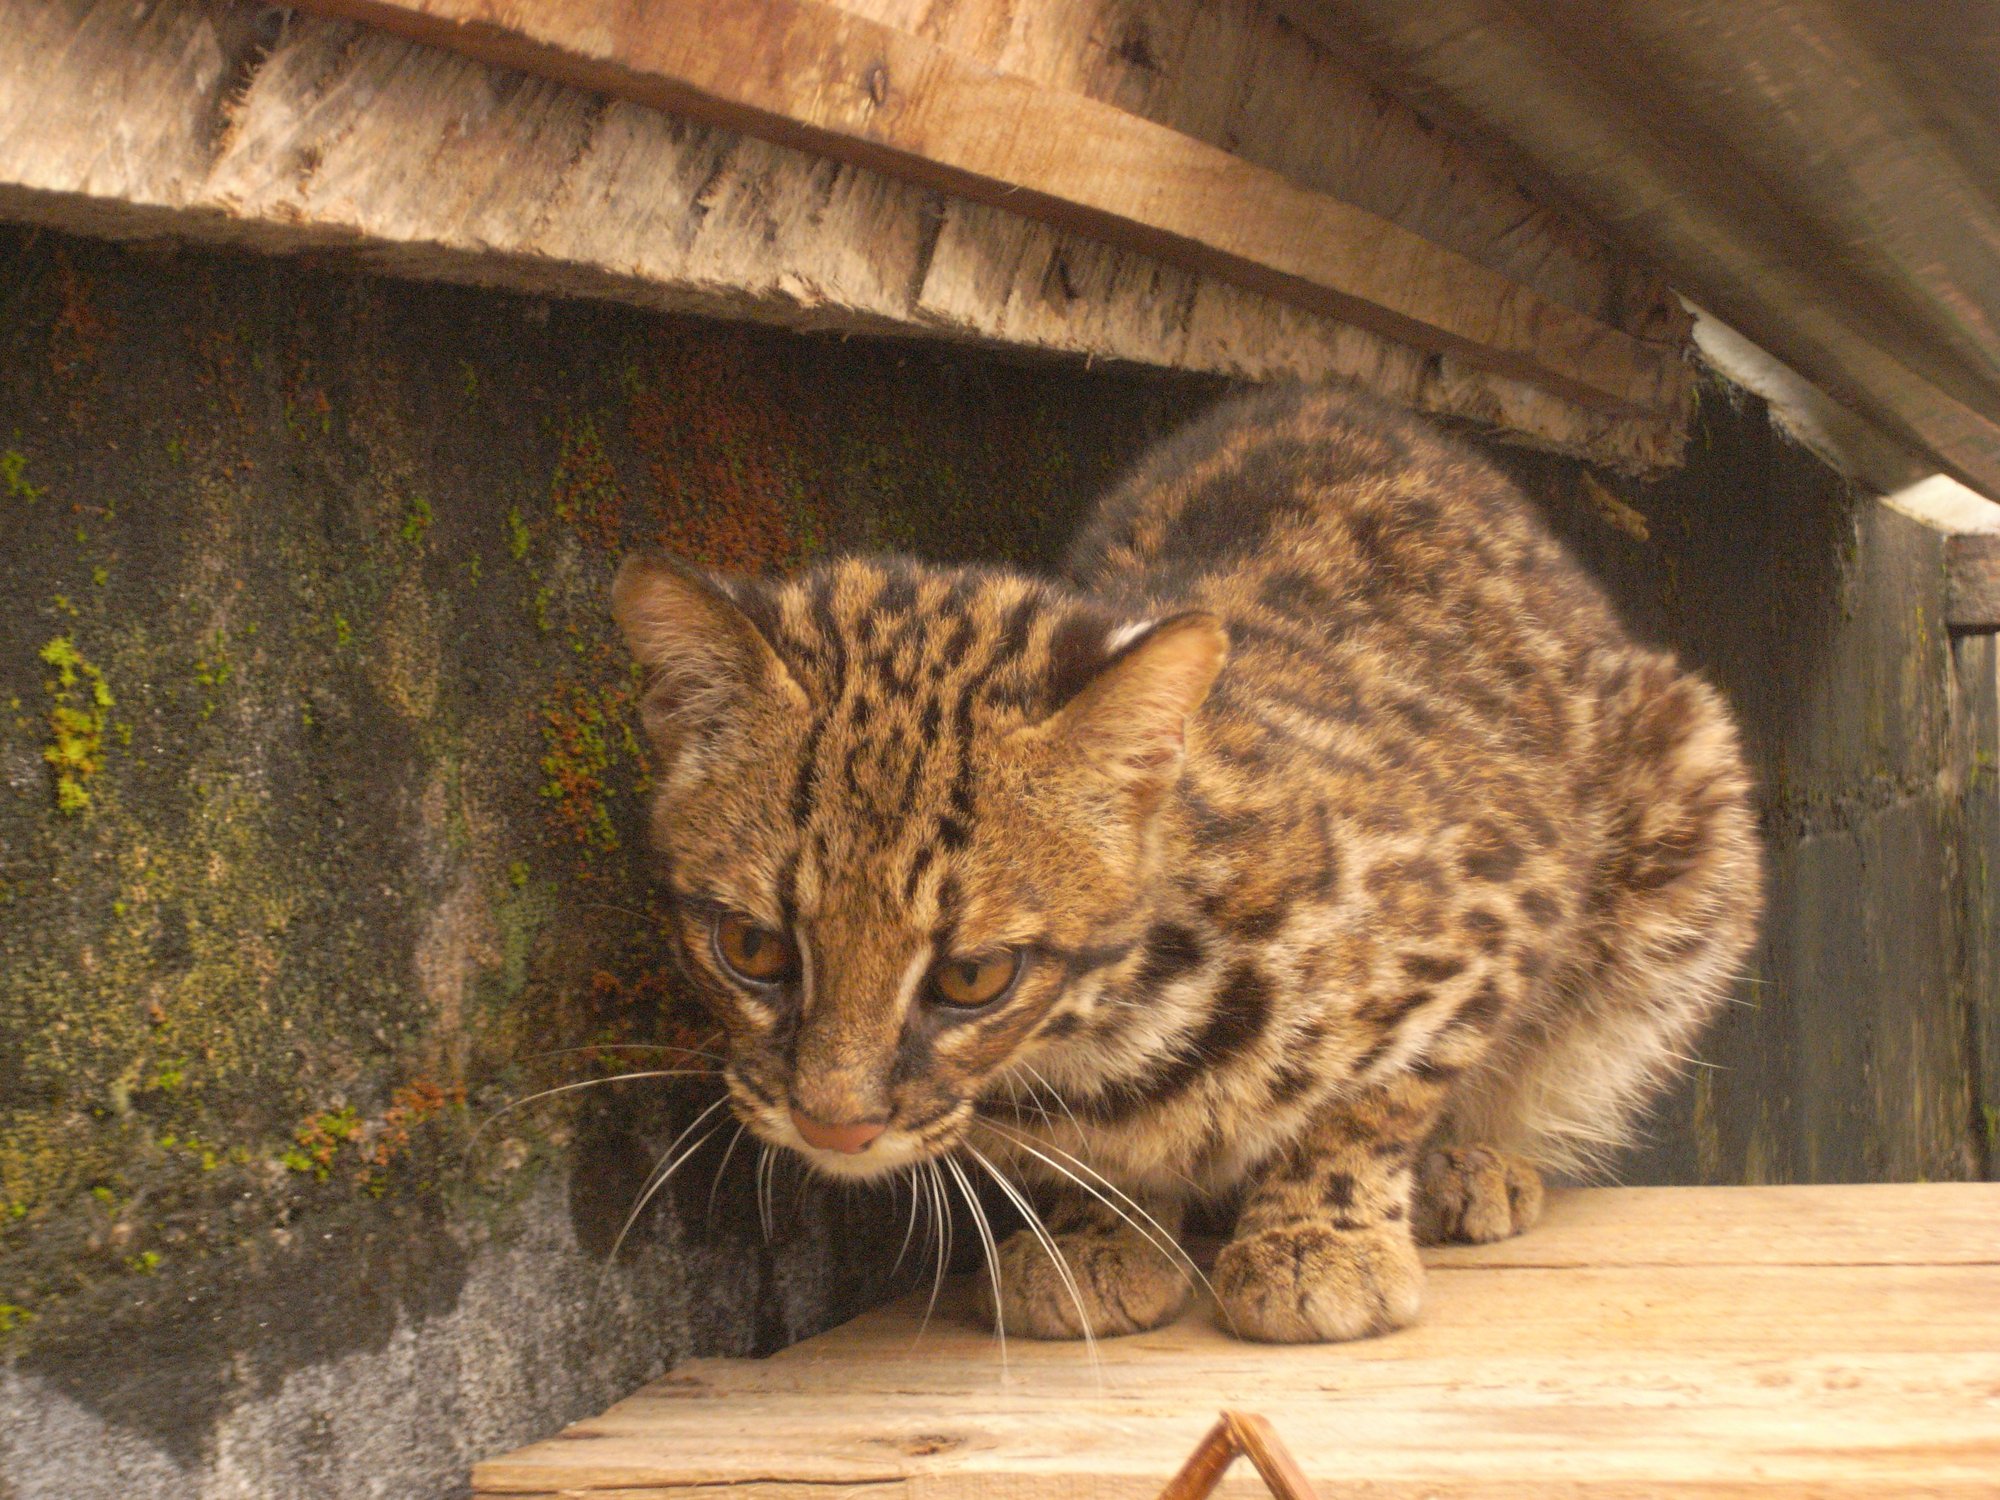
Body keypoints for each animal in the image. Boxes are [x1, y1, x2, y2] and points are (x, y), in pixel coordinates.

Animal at [616, 382, 1760, 1344]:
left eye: (973, 977)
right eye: (752, 948)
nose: (833, 1127)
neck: (1105, 1037)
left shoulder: (1494, 901)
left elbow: (1373, 1100)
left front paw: (1318, 1239)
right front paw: (1091, 1233)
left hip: (1690, 814)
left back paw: (1472, 1166)